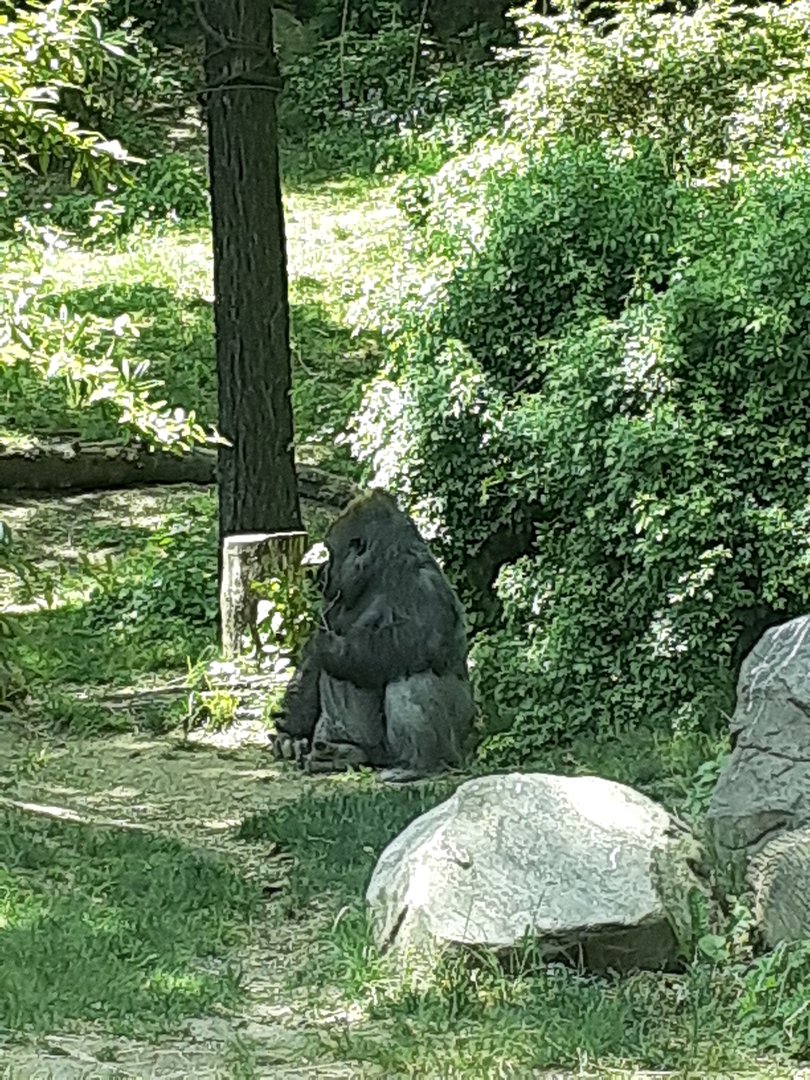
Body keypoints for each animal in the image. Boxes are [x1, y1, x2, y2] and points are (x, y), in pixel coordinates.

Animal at [272, 489, 475, 780]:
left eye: (331, 552)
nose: (322, 571)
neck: (380, 569)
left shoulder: (422, 583)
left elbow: (404, 647)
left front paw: (327, 645)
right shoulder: (333, 599)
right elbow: (311, 667)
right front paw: (289, 734)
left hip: (456, 742)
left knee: (409, 678)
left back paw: (419, 765)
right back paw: (345, 753)